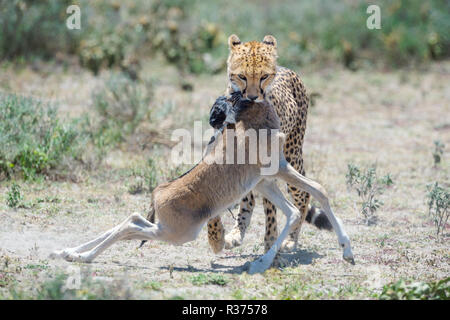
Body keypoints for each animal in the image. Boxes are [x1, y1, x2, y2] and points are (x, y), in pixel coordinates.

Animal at [48, 93, 352, 272]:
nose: (219, 116)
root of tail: (160, 191)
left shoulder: (266, 180)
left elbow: (304, 203)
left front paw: (347, 251)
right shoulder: (277, 170)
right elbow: (316, 193)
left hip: (168, 228)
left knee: (132, 218)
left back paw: (67, 252)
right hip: (175, 233)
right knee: (129, 227)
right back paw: (81, 258)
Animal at [208, 35, 334, 260]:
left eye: (264, 76)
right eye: (242, 76)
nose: (251, 96)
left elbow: (271, 211)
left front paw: (270, 246)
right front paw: (216, 236)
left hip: (293, 152)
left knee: (302, 196)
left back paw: (290, 241)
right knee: (248, 199)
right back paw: (236, 233)